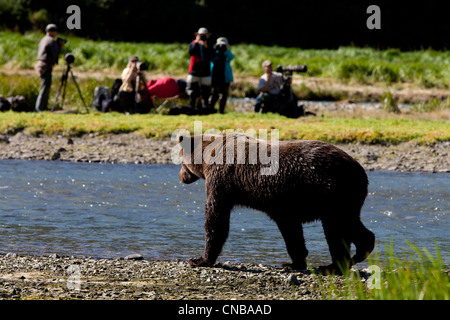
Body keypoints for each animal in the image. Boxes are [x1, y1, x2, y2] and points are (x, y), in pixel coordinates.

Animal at [178, 132, 374, 272]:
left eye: (180, 161)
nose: (181, 177)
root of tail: (360, 169)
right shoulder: (283, 204)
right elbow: (291, 231)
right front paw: (293, 263)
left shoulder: (222, 180)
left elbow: (215, 217)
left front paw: (198, 259)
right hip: (344, 198)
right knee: (350, 225)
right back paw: (356, 254)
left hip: (333, 194)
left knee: (337, 229)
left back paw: (334, 265)